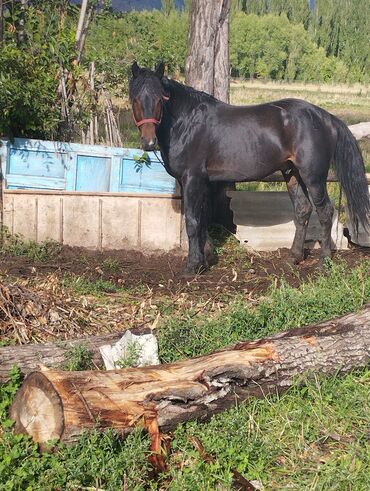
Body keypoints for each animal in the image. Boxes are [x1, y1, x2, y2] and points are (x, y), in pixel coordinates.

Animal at [130, 62, 370, 274]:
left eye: (160, 99)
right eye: (135, 99)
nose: (148, 142)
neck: (187, 123)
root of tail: (326, 117)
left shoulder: (192, 179)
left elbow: (192, 220)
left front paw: (193, 265)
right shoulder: (200, 182)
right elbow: (203, 219)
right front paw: (207, 257)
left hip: (313, 177)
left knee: (325, 212)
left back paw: (324, 263)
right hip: (292, 174)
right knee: (303, 210)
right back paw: (293, 258)